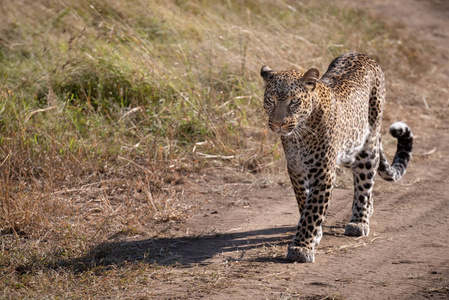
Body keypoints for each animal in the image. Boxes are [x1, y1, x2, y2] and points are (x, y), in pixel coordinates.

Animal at [260, 53, 412, 262]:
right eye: (271, 100)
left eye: (294, 101)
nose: (278, 124)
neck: (300, 134)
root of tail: (362, 54)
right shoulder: (296, 170)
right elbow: (303, 202)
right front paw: (315, 235)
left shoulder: (323, 172)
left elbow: (312, 210)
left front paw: (301, 247)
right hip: (349, 150)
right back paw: (369, 208)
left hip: (367, 146)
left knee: (365, 182)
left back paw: (360, 220)